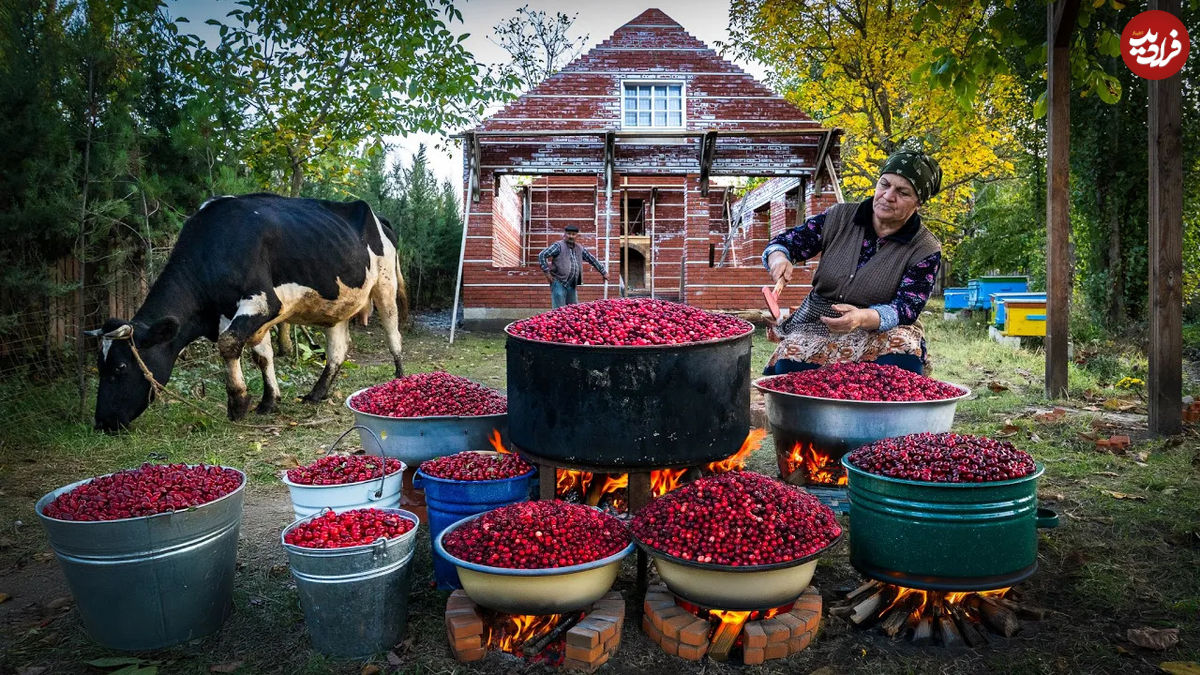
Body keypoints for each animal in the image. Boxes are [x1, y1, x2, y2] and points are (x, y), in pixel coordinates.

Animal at [88, 193, 408, 429]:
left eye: (120, 367)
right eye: (100, 366)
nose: (103, 422)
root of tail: (376, 215)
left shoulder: (263, 301)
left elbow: (228, 344)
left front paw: (238, 402)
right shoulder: (244, 315)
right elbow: (262, 356)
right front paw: (268, 401)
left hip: (385, 284)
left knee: (393, 330)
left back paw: (399, 376)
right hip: (338, 304)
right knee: (338, 351)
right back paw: (317, 394)